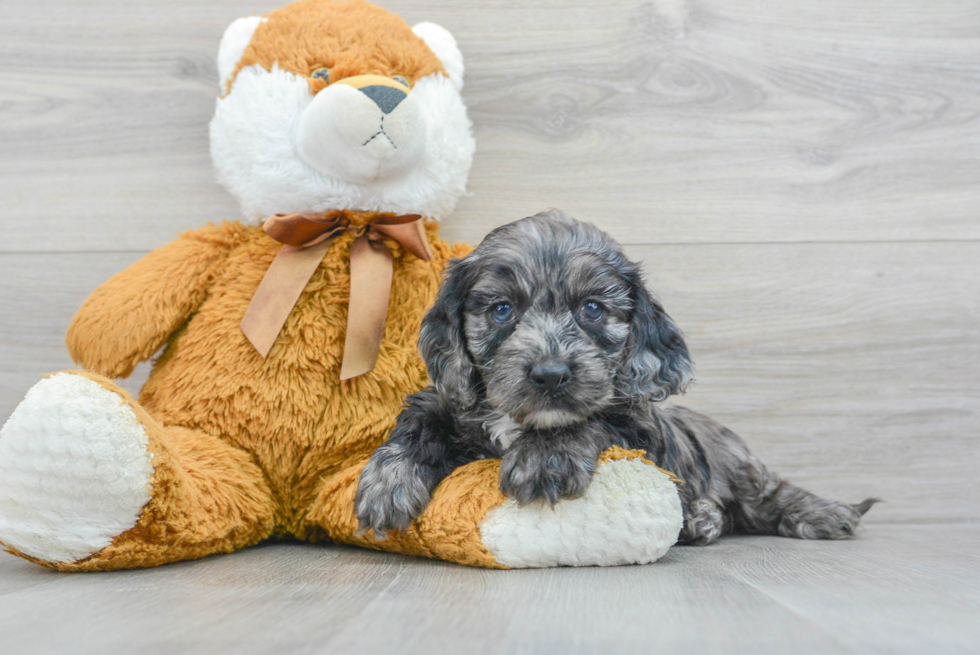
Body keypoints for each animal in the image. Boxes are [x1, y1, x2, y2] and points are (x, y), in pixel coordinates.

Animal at [356, 210, 876, 544]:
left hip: (739, 466)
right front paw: (386, 485)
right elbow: (417, 424)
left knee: (769, 494)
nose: (550, 375)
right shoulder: (447, 400)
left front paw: (546, 458)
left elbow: (589, 420)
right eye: (502, 309)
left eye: (592, 309)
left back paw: (820, 514)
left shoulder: (637, 429)